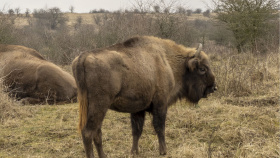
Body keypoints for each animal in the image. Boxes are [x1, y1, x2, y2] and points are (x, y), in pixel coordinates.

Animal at [72, 36, 217, 158]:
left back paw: (104, 156)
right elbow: (159, 127)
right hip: (99, 105)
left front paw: (134, 152)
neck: (167, 61)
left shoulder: (138, 110)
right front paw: (163, 151)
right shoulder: (161, 104)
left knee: (97, 132)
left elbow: (137, 131)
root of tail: (82, 58)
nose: (213, 88)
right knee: (88, 132)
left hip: (94, 108)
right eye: (202, 68)